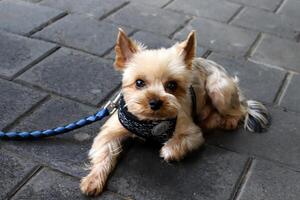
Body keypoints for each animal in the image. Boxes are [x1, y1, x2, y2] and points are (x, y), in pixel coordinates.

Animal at [79, 28, 270, 195]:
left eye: (172, 85)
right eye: (139, 82)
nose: (155, 102)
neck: (149, 122)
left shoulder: (192, 133)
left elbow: (176, 144)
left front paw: (168, 150)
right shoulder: (111, 131)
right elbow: (103, 152)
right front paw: (92, 180)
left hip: (219, 88)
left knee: (240, 109)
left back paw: (228, 120)